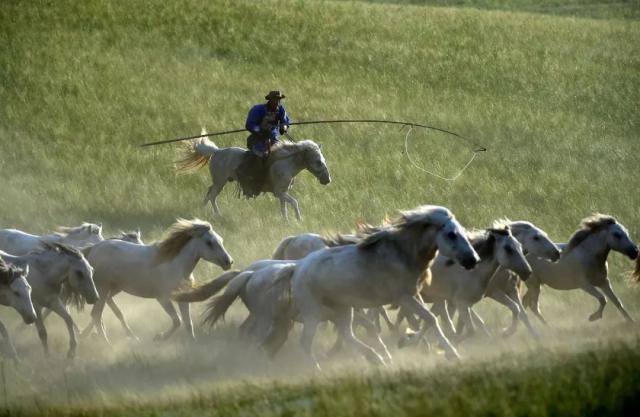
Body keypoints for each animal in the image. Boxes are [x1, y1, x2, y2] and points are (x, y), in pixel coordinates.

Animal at [82, 218, 232, 342]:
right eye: (209, 243)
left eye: (221, 240)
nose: (229, 262)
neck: (176, 265)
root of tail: (92, 249)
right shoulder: (163, 298)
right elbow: (177, 321)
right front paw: (159, 337)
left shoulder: (183, 298)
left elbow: (188, 323)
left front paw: (192, 343)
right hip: (102, 288)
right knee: (96, 314)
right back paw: (107, 343)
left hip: (113, 288)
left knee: (101, 311)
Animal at [178, 136, 332, 221]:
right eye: (318, 161)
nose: (327, 180)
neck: (285, 162)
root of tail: (217, 151)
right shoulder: (279, 192)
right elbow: (294, 203)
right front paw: (298, 220)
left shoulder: (282, 193)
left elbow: (284, 208)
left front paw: (287, 221)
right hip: (220, 182)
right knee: (211, 195)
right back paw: (212, 214)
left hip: (219, 182)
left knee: (210, 194)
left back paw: (207, 212)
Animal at [286, 203, 480, 366]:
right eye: (451, 234)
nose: (473, 260)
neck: (402, 255)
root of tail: (297, 267)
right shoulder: (403, 297)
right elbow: (429, 319)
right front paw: (451, 353)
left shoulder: (414, 294)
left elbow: (428, 320)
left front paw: (408, 341)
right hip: (313, 313)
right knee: (306, 342)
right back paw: (317, 368)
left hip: (342, 309)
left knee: (347, 334)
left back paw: (378, 358)